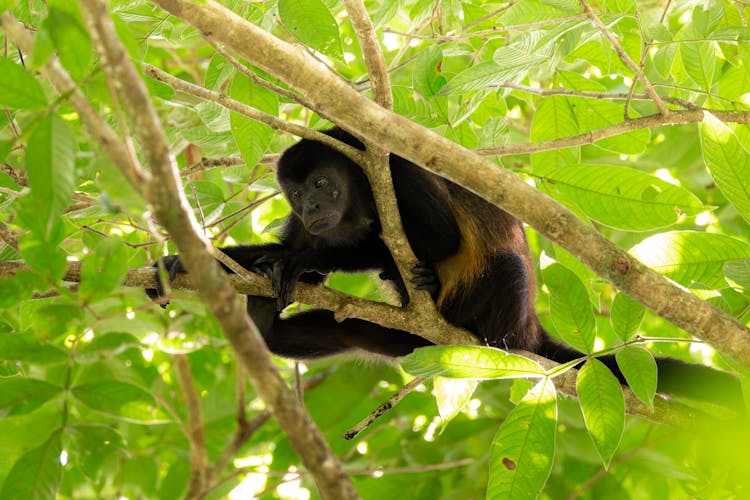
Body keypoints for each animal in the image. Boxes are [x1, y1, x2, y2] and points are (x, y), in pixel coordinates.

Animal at [148, 127, 748, 408]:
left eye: (322, 184)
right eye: (295, 193)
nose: (313, 207)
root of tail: (528, 330)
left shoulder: (392, 164)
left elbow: (439, 235)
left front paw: (298, 262)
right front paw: (186, 260)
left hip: (495, 316)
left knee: (507, 269)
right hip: (402, 341)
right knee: (317, 334)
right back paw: (264, 317)